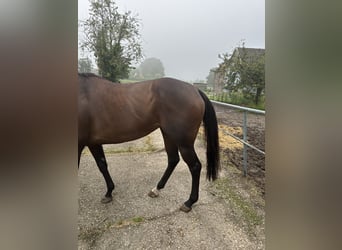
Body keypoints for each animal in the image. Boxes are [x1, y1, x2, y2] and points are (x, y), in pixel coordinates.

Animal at [78, 73, 219, 212]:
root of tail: (195, 90)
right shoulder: (93, 142)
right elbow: (102, 165)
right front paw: (109, 192)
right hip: (168, 134)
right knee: (173, 159)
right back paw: (157, 189)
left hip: (184, 143)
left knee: (195, 166)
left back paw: (189, 202)